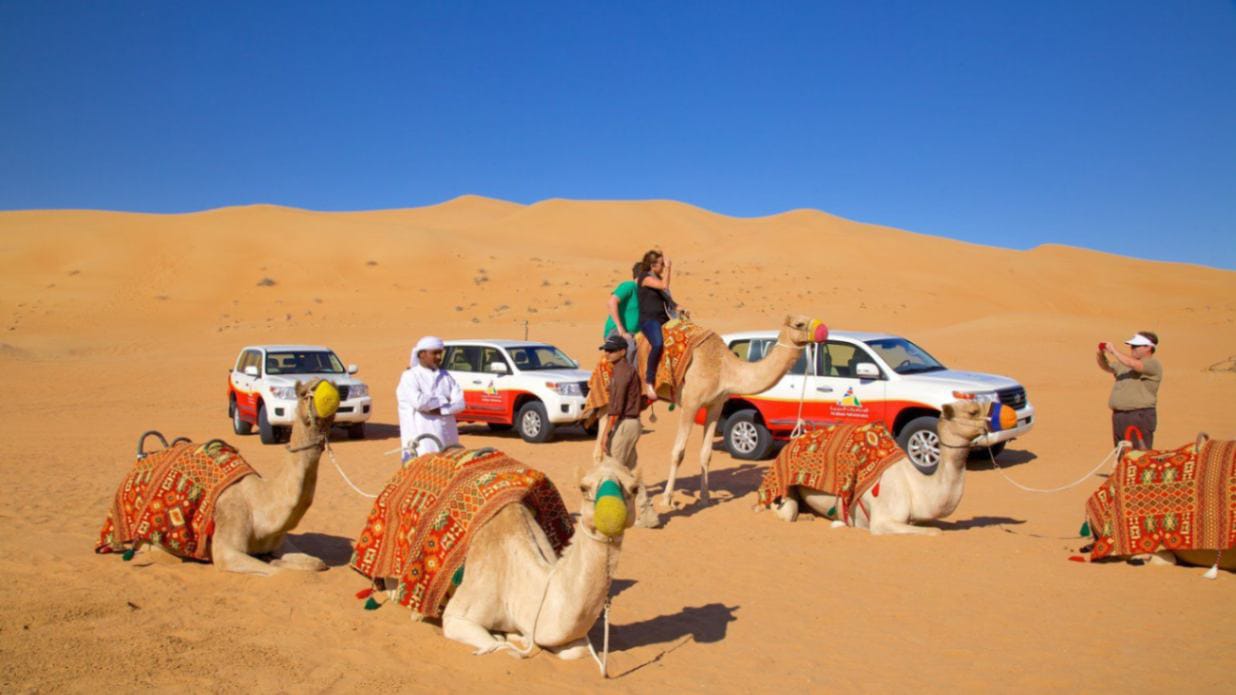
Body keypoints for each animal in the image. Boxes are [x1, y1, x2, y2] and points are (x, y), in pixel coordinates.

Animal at [442, 455, 637, 652]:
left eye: (635, 488)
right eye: (583, 487)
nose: (611, 515)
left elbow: (577, 651)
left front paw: (517, 636)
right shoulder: (457, 616)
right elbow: (497, 645)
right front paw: (506, 637)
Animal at [776, 398, 988, 531]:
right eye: (972, 412)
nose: (990, 424)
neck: (917, 488)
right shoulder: (883, 519)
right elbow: (935, 532)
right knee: (786, 513)